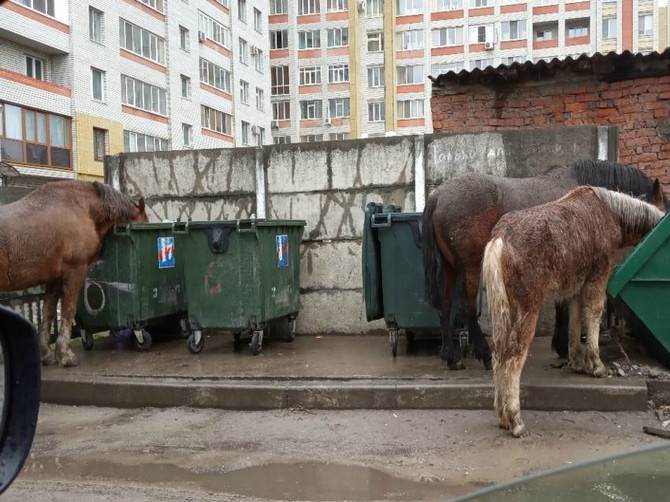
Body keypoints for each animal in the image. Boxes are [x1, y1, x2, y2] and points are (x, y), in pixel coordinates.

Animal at [0, 179, 147, 364]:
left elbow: (48, 312)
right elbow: (68, 310)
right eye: (145, 222)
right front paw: (65, 354)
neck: (81, 208)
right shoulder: (75, 270)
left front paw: (46, 353)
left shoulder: (54, 278)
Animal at [422, 159, 668, 370]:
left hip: (450, 268)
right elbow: (564, 306)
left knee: (445, 306)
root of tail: (438, 195)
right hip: (471, 267)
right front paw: (563, 348)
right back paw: (484, 354)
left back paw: (452, 356)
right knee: (466, 308)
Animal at [484, 186, 668, 438]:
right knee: (513, 355)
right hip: (528, 306)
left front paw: (577, 362)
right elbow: (594, 313)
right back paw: (516, 421)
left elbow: (575, 321)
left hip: (504, 307)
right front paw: (597, 365)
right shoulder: (599, 274)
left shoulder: (576, 285)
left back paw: (501, 417)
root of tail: (499, 240)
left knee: (497, 352)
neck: (612, 214)